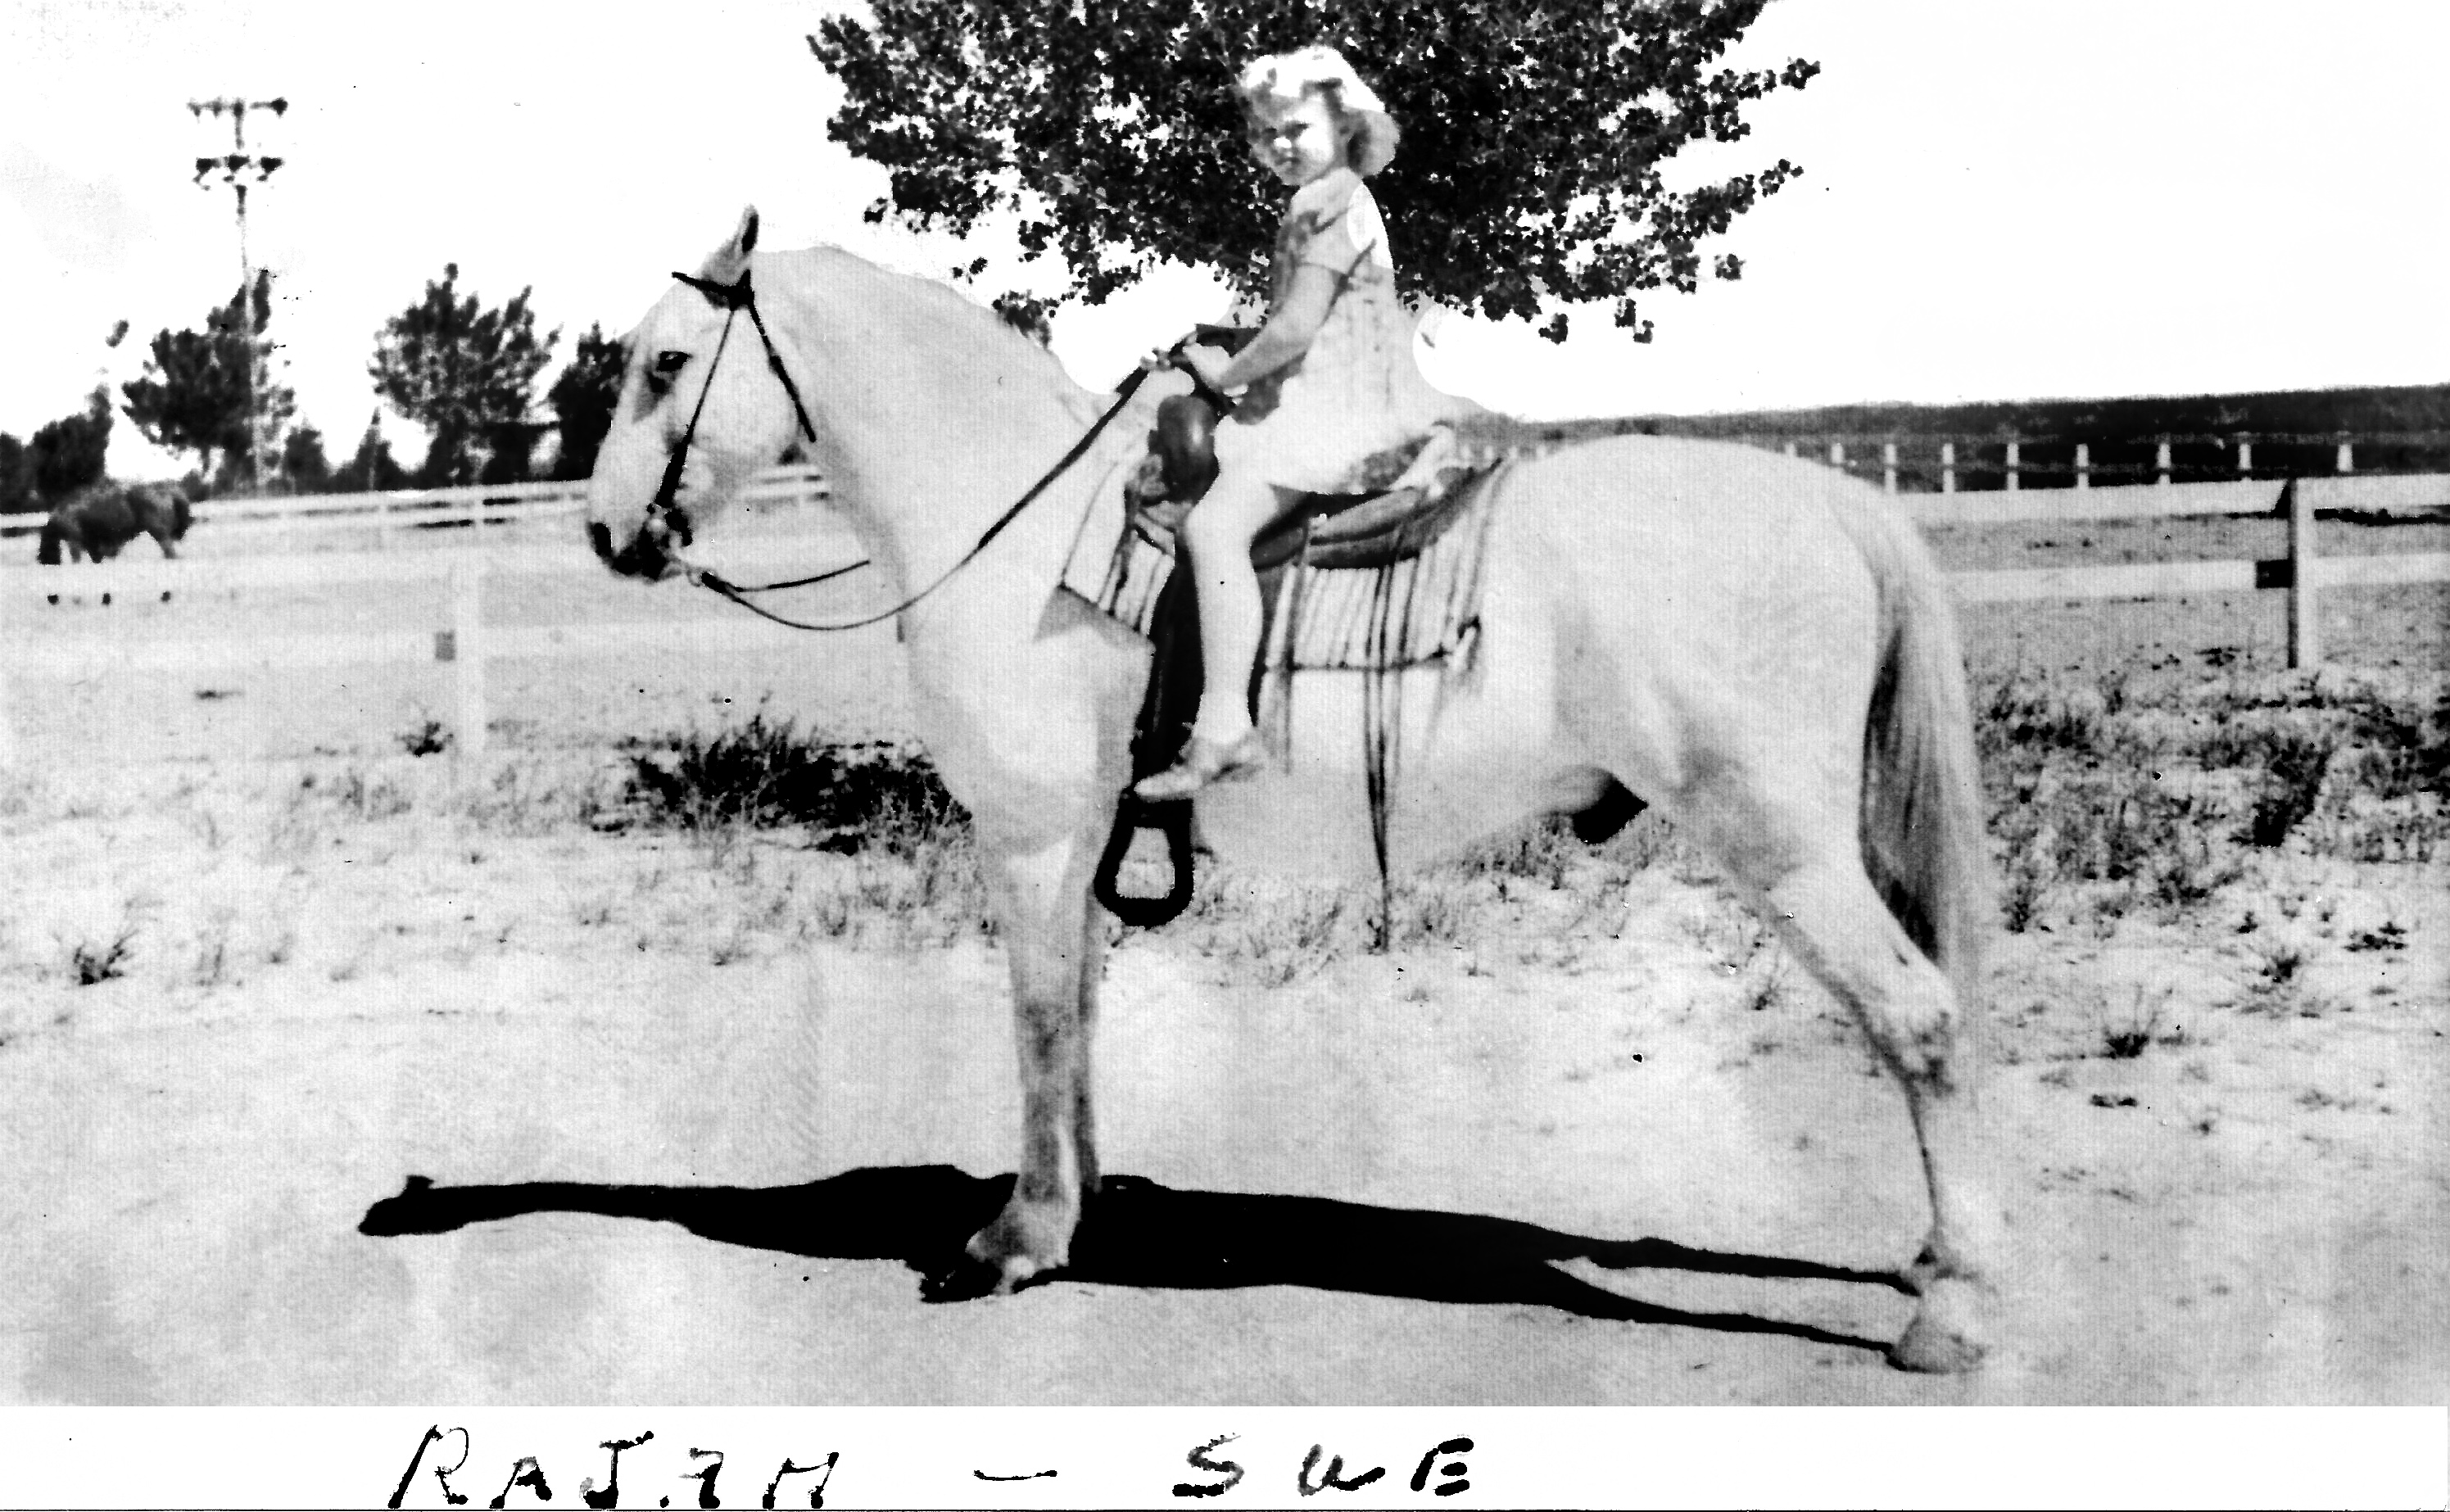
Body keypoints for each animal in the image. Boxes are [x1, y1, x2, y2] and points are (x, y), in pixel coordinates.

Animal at [36, 481, 192, 564]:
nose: (44, 560)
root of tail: (167, 491)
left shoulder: (75, 540)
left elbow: (77, 556)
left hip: (158, 532)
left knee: (169, 549)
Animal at [584, 208, 2003, 1373]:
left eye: (664, 364)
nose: (604, 532)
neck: (1019, 521)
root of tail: (1831, 499)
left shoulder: (1030, 838)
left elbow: (1037, 1022)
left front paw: (1014, 1239)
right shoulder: (1080, 845)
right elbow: (1077, 1017)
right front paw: (1079, 1206)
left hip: (1785, 848)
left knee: (1919, 1021)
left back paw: (1952, 1308)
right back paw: (1933, 1265)